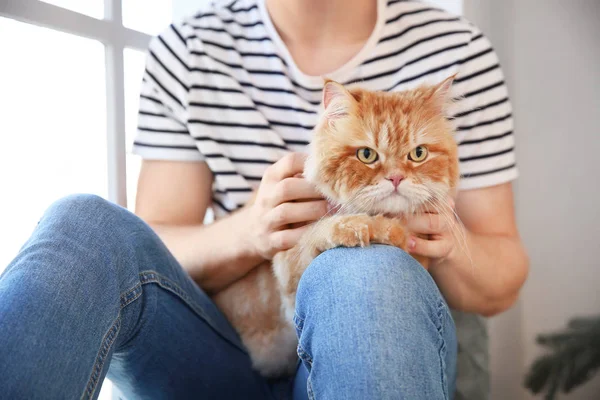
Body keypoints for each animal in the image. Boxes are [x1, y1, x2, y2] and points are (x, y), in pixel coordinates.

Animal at [211, 76, 460, 378]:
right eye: (367, 155)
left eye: (418, 153)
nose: (396, 178)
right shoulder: (289, 274)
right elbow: (320, 230)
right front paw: (369, 228)